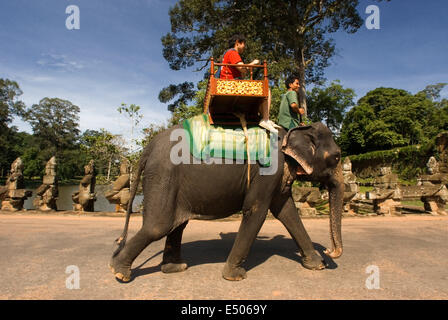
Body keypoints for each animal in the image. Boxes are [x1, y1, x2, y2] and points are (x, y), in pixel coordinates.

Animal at [110, 121, 344, 282]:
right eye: (337, 157)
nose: (329, 253)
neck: (291, 132)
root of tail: (148, 148)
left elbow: (286, 211)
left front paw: (316, 266)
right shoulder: (268, 170)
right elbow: (256, 210)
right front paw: (235, 276)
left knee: (177, 225)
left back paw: (175, 268)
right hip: (163, 176)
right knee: (159, 226)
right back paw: (119, 273)